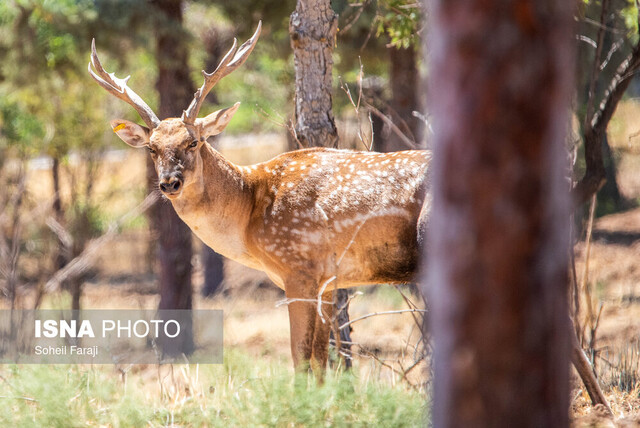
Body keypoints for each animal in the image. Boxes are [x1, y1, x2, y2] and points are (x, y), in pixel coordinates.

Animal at [89, 22, 430, 378]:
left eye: (193, 142)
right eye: (151, 148)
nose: (169, 182)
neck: (250, 210)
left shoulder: (299, 267)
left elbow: (300, 358)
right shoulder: (328, 279)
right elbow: (321, 361)